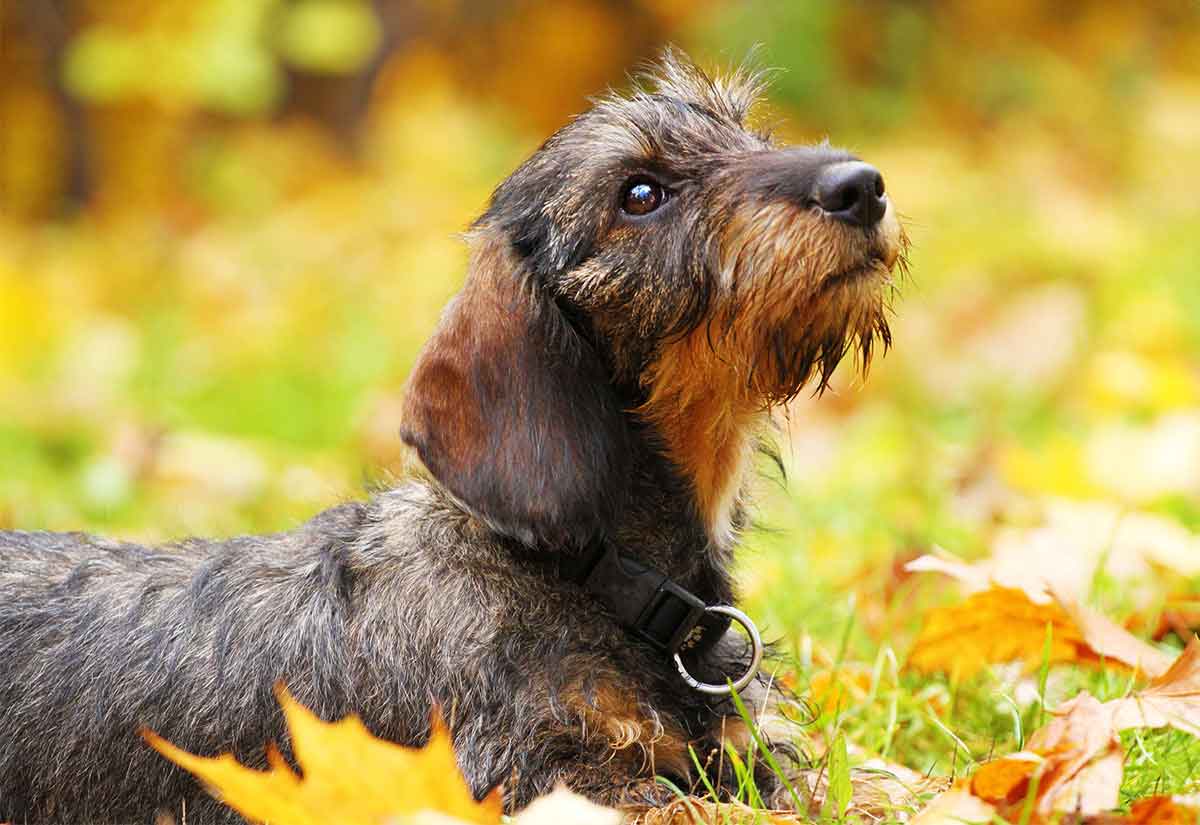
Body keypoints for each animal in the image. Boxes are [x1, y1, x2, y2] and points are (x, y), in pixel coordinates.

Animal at [0, 48, 902, 820]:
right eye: (640, 193)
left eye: (752, 135)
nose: (860, 184)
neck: (583, 570)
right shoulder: (539, 776)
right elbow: (699, 807)